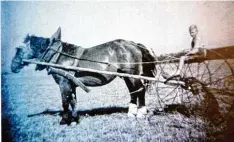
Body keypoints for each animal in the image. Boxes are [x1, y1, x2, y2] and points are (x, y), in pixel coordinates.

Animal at [11, 27, 157, 124]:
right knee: (133, 92)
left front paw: (64, 120)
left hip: (133, 75)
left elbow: (65, 101)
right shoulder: (71, 83)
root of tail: (134, 44)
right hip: (127, 76)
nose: (12, 67)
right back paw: (131, 113)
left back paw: (141, 113)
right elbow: (73, 101)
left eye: (18, 49)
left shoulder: (64, 82)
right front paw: (74, 119)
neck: (59, 56)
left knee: (140, 91)